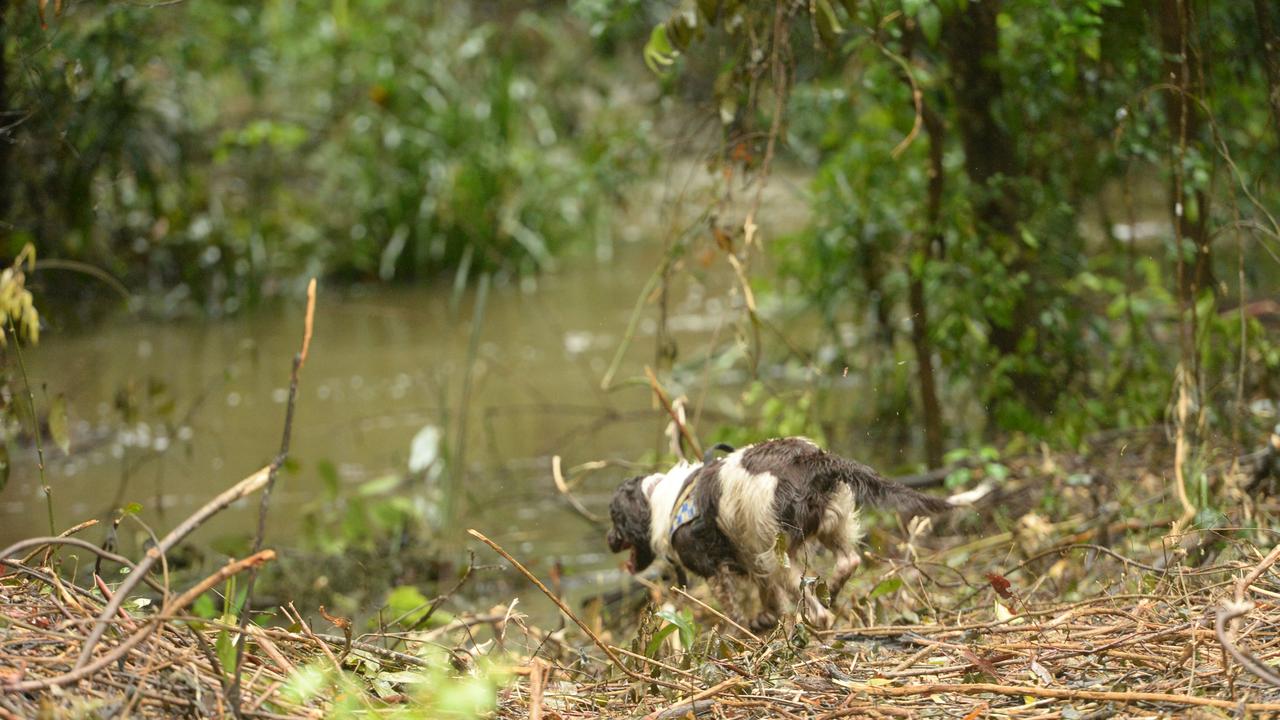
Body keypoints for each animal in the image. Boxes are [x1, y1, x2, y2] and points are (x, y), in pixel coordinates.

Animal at [606, 435, 952, 625]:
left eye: (613, 517)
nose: (608, 541)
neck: (660, 500)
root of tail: (814, 461)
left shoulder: (717, 569)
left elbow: (734, 609)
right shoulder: (749, 560)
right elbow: (766, 595)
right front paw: (767, 618)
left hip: (777, 552)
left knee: (817, 608)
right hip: (833, 523)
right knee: (848, 561)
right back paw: (832, 592)